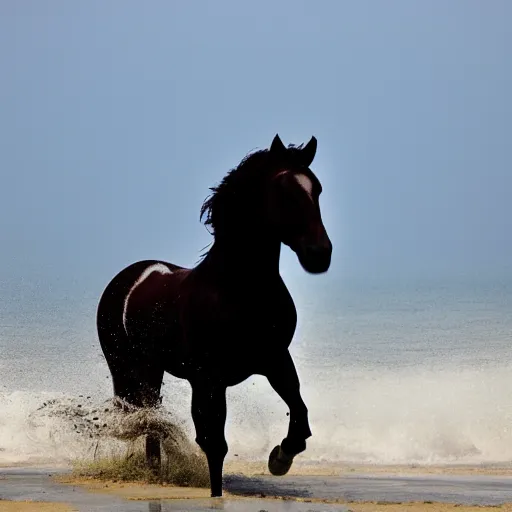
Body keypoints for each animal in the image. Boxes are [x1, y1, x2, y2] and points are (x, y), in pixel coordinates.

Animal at [95, 134, 332, 498]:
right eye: (284, 191)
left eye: (316, 189)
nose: (319, 254)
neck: (238, 290)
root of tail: (127, 278)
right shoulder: (208, 378)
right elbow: (214, 445)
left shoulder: (275, 359)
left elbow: (300, 418)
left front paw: (279, 458)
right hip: (130, 366)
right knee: (149, 417)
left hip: (152, 370)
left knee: (152, 419)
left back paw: (154, 472)